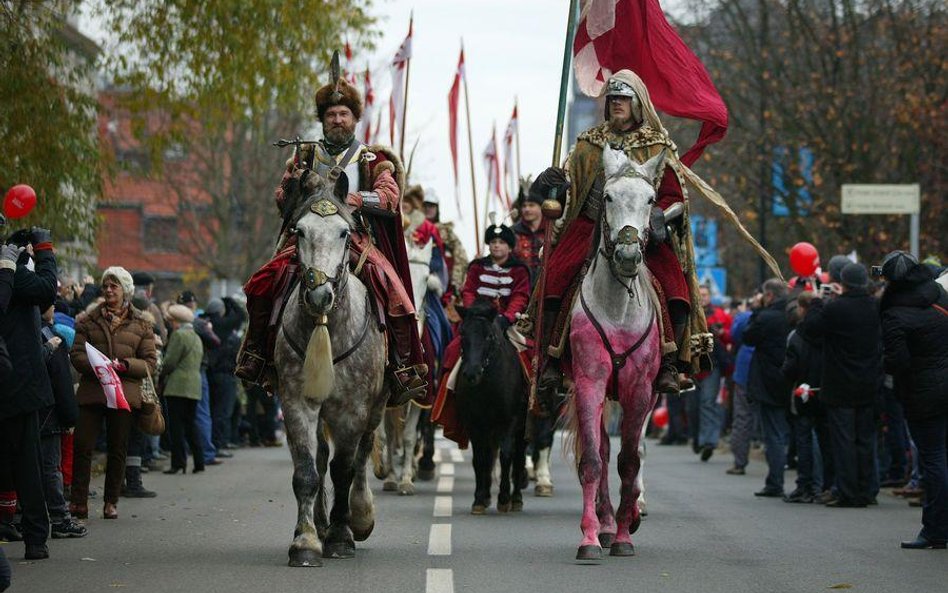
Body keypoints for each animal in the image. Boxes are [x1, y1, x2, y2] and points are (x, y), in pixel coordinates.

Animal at [274, 178, 388, 568]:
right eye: (299, 231)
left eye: (344, 232)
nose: (320, 295)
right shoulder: (297, 402)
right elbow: (307, 472)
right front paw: (305, 541)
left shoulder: (352, 409)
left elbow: (345, 469)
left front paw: (342, 537)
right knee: (322, 458)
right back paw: (322, 525)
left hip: (377, 405)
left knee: (362, 452)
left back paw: (361, 517)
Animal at [454, 298, 524, 512]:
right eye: (463, 333)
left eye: (489, 336)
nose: (471, 374)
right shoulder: (474, 423)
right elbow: (480, 458)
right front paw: (479, 498)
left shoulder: (509, 420)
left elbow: (507, 455)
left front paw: (504, 497)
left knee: (519, 454)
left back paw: (516, 498)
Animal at [564, 146, 668, 560]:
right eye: (607, 196)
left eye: (651, 199)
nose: (626, 255)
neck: (618, 310)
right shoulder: (590, 382)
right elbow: (594, 461)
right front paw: (592, 538)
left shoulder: (640, 390)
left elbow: (629, 461)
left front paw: (625, 534)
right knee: (604, 452)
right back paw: (606, 524)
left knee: (631, 452)